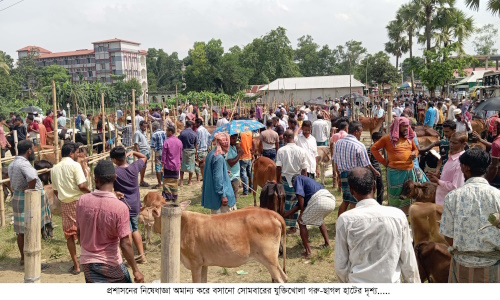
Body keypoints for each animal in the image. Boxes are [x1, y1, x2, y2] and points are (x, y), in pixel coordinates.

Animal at [150, 204, 288, 284]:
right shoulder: (203, 264)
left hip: (268, 258)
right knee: (284, 277)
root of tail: (270, 213)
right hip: (272, 259)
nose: (151, 226)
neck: (183, 225)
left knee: (280, 279)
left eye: (154, 214)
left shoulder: (195, 263)